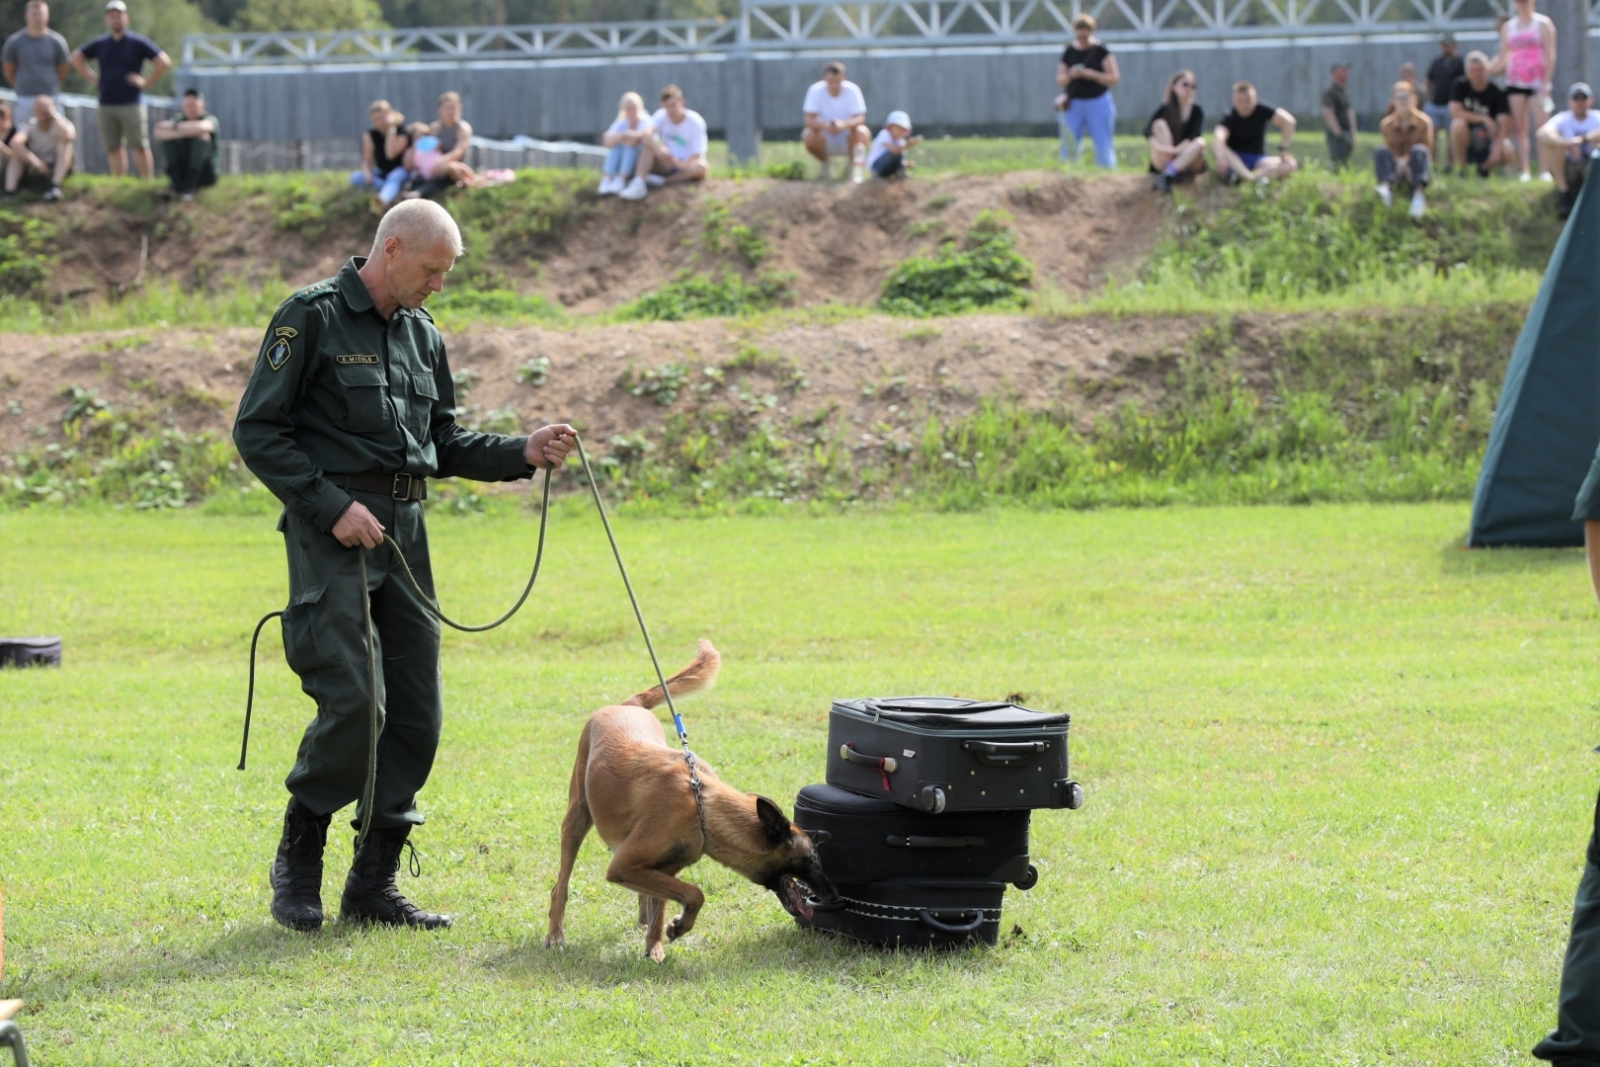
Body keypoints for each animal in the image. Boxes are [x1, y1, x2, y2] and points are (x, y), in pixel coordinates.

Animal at [547, 643, 838, 959]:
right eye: (811, 858)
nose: (835, 896)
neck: (702, 810)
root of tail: (628, 706)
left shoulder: (665, 868)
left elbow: (663, 905)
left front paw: (656, 946)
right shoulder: (623, 866)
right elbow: (695, 893)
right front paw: (678, 927)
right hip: (576, 820)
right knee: (560, 886)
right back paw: (555, 935)